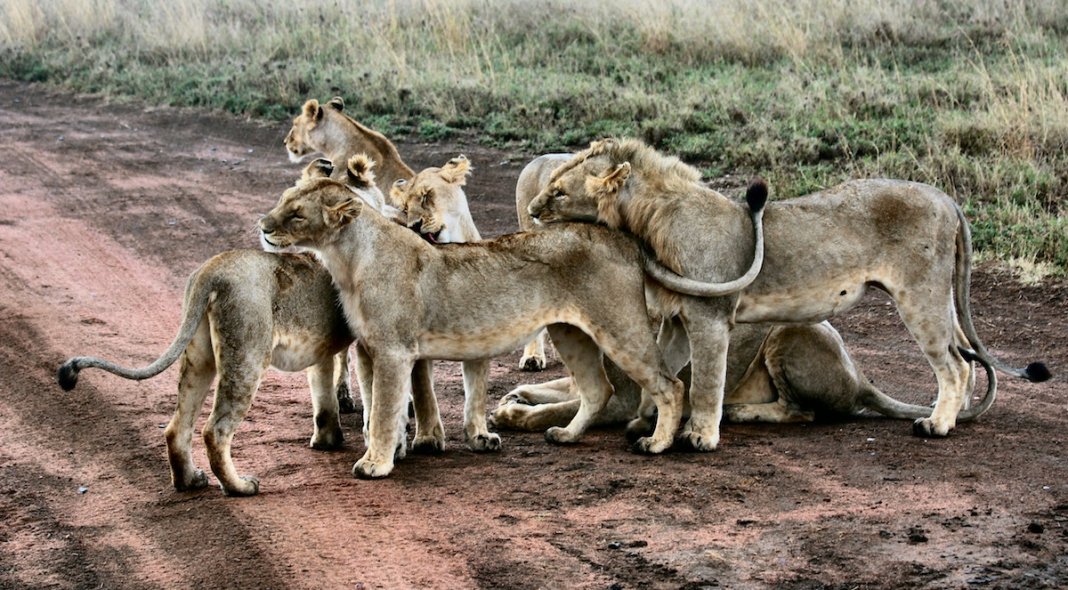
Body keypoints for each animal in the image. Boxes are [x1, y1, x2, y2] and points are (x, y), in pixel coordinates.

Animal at [259, 163, 768, 476]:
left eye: (297, 213)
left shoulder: (393, 350)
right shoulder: (370, 350)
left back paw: (657, 444)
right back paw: (566, 435)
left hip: (618, 325)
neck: (346, 258)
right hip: (570, 331)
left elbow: (385, 410)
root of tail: (620, 236)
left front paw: (376, 464)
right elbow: (383, 409)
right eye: (283, 200)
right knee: (598, 389)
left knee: (669, 384)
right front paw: (395, 449)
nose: (263, 225)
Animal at [529, 137, 1046, 451]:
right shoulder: (678, 319)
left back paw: (938, 425)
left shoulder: (709, 316)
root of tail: (946, 198)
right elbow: (667, 374)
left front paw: (699, 437)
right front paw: (652, 425)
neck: (646, 221)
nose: (532, 211)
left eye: (558, 193)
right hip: (937, 299)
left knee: (955, 365)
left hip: (920, 296)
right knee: (966, 362)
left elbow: (705, 381)